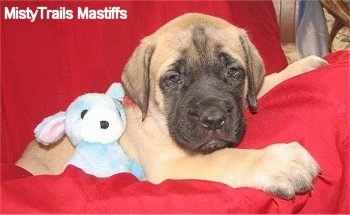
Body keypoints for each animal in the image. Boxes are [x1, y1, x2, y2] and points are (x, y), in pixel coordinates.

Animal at [17, 12, 328, 199]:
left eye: (233, 72)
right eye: (174, 78)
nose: (213, 119)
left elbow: (264, 84)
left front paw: (303, 66)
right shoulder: (169, 165)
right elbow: (225, 157)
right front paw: (281, 163)